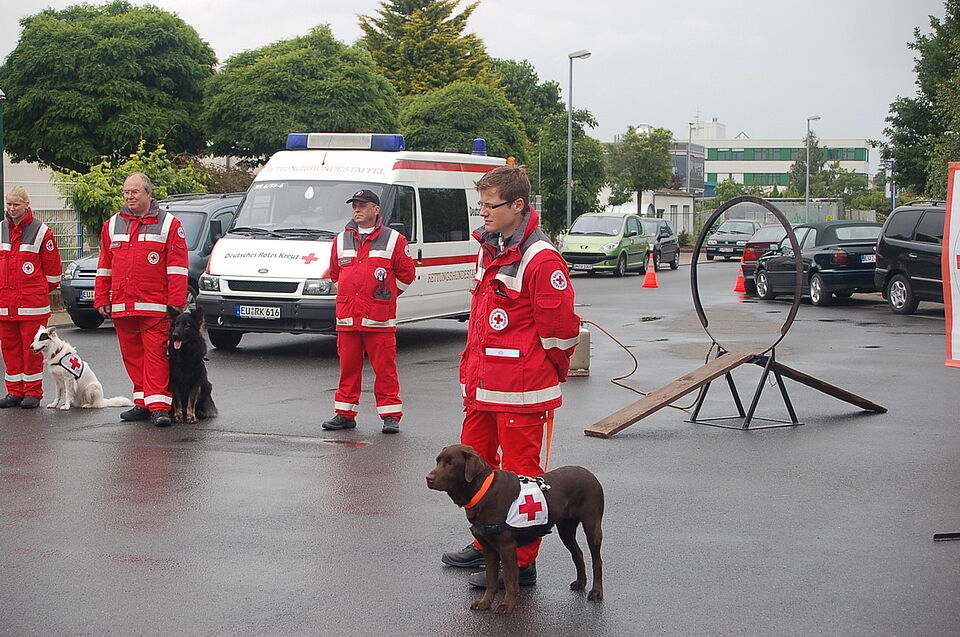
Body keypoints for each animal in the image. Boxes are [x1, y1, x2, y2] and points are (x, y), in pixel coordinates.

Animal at [426, 444, 604, 614]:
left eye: (450, 463)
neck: (483, 491)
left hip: (592, 527)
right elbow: (491, 581)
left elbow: (510, 581)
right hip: (565, 530)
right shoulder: (488, 548)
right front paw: (484, 603)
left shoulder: (507, 547)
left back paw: (596, 592)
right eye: (437, 461)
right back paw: (580, 582)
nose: (428, 478)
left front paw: (507, 606)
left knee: (597, 561)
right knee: (578, 553)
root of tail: (590, 474)